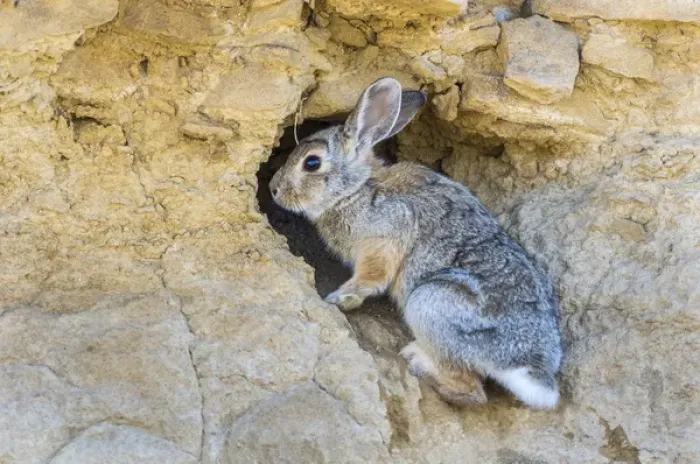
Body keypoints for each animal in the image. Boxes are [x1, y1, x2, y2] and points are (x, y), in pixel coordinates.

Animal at [269, 77, 562, 409]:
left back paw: (417, 360)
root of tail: (527, 366)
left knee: (471, 391)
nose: (273, 189)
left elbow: (372, 276)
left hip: (429, 303)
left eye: (312, 163)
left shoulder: (387, 234)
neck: (356, 189)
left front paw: (340, 297)